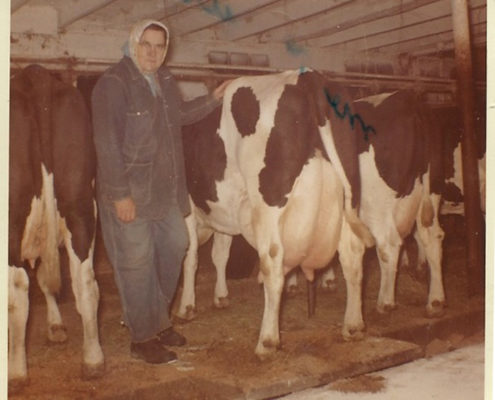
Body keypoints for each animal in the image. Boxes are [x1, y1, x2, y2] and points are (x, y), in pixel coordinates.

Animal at [8, 65, 104, 388]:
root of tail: (34, 76)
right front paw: (56, 327)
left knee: (17, 290)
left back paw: (15, 372)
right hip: (81, 205)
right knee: (85, 282)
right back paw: (93, 360)